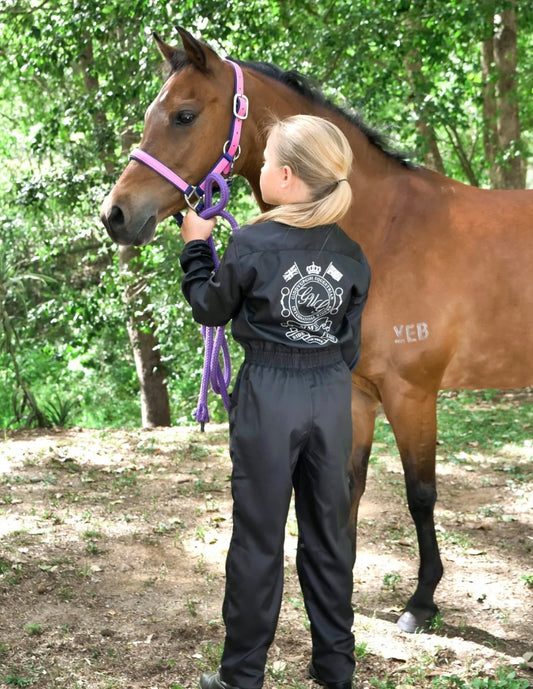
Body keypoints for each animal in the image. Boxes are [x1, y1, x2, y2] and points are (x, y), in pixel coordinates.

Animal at [100, 27, 533, 633]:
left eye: (184, 115)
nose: (114, 214)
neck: (385, 227)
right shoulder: (355, 393)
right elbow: (345, 485)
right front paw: (336, 581)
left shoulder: (412, 394)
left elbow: (420, 494)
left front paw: (421, 602)